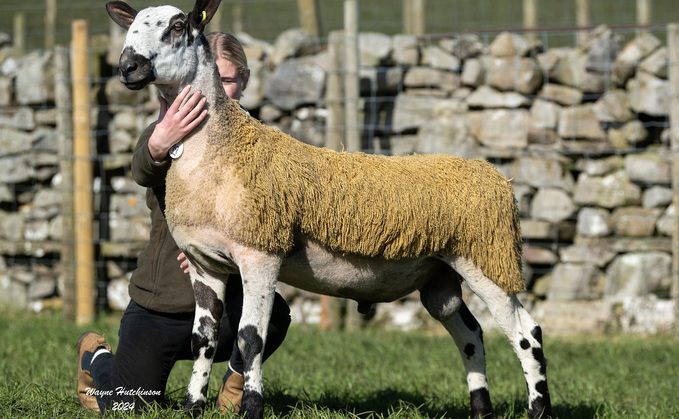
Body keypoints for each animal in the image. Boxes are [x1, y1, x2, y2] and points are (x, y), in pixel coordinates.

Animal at [106, 0, 552, 419]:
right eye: (131, 25)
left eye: (178, 25)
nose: (127, 67)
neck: (220, 151)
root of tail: (494, 175)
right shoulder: (204, 263)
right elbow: (203, 341)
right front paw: (192, 406)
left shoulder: (261, 252)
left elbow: (251, 339)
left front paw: (252, 408)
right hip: (440, 276)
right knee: (471, 335)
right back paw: (481, 409)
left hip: (488, 258)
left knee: (527, 333)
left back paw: (539, 409)